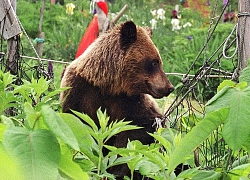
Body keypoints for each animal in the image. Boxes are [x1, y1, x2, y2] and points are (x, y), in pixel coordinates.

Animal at [60, 20, 174, 179]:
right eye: (154, 62)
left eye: (158, 61)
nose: (170, 87)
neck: (109, 86)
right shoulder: (79, 91)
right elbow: (78, 124)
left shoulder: (130, 102)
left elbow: (137, 131)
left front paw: (115, 169)